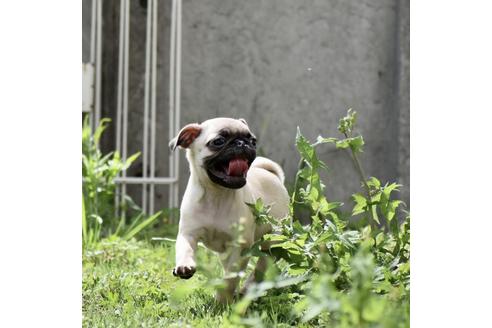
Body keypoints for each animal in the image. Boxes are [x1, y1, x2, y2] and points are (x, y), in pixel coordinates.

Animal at [169, 118, 288, 302]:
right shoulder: (188, 234)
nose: (242, 143)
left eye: (253, 141)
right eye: (218, 141)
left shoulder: (239, 247)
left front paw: (222, 300)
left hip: (272, 241)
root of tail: (272, 175)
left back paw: (247, 289)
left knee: (261, 266)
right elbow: (185, 249)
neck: (217, 194)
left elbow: (230, 278)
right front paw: (184, 266)